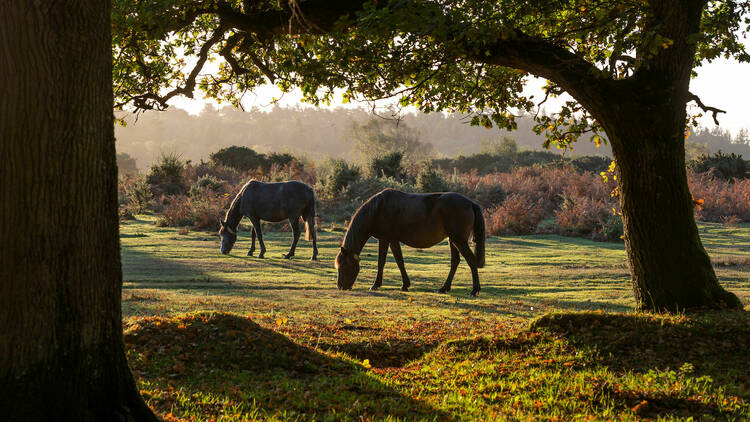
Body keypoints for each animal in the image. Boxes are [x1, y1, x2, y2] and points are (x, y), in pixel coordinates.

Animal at [336, 188, 488, 296]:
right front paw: (405, 285)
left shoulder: (385, 239)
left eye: (344, 266)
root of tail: (470, 203)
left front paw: (375, 285)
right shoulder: (393, 240)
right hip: (453, 240)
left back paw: (474, 290)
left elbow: (381, 261)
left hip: (459, 240)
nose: (341, 287)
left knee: (471, 261)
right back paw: (444, 288)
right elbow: (399, 261)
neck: (378, 209)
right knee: (455, 262)